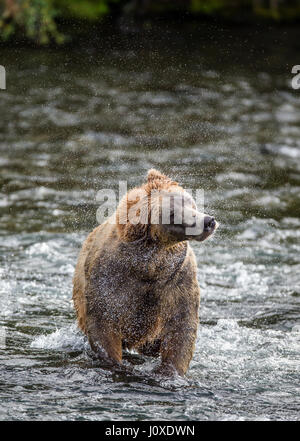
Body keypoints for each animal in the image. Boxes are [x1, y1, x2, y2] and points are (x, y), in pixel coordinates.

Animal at [72, 168, 218, 374]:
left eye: (189, 201)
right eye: (172, 214)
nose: (208, 221)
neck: (150, 269)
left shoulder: (177, 279)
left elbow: (181, 329)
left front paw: (170, 371)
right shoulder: (110, 278)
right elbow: (104, 325)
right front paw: (116, 364)